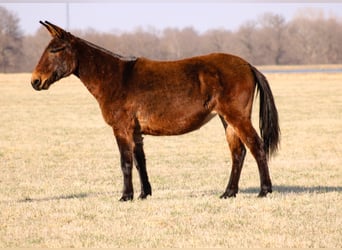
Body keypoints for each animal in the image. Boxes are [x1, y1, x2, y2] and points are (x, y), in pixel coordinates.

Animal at [31, 21, 280, 201]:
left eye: (55, 50)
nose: (35, 81)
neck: (115, 78)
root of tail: (248, 65)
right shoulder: (135, 132)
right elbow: (140, 161)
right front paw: (144, 194)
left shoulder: (122, 129)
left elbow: (125, 162)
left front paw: (126, 196)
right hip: (227, 120)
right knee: (238, 153)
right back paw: (228, 193)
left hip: (237, 117)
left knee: (257, 147)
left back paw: (264, 190)